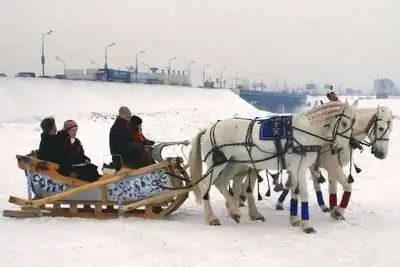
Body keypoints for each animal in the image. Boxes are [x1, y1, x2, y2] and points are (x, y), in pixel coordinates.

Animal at [189, 100, 358, 234]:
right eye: (344, 123)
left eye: (353, 124)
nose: (340, 148)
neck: (306, 131)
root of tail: (209, 128)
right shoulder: (298, 167)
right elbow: (303, 194)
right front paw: (307, 225)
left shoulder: (294, 168)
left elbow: (295, 191)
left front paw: (295, 220)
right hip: (217, 164)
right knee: (206, 186)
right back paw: (212, 217)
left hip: (233, 163)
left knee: (222, 183)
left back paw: (234, 210)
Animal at [233, 105, 392, 221]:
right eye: (381, 128)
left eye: (391, 130)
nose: (382, 155)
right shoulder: (332, 166)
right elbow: (347, 186)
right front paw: (338, 210)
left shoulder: (327, 167)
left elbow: (329, 188)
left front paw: (331, 208)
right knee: (244, 183)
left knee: (244, 182)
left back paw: (241, 200)